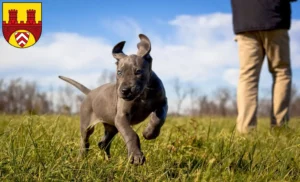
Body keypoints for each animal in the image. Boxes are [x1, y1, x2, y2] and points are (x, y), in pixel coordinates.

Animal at [57, 33, 168, 165]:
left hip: (112, 126)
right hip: (87, 124)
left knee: (103, 143)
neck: (143, 94)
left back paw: (108, 160)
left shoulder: (162, 103)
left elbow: (159, 119)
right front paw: (136, 156)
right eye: (119, 72)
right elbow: (131, 134)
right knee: (85, 141)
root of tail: (91, 92)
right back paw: (81, 159)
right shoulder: (121, 117)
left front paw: (149, 133)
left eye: (138, 72)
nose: (125, 90)